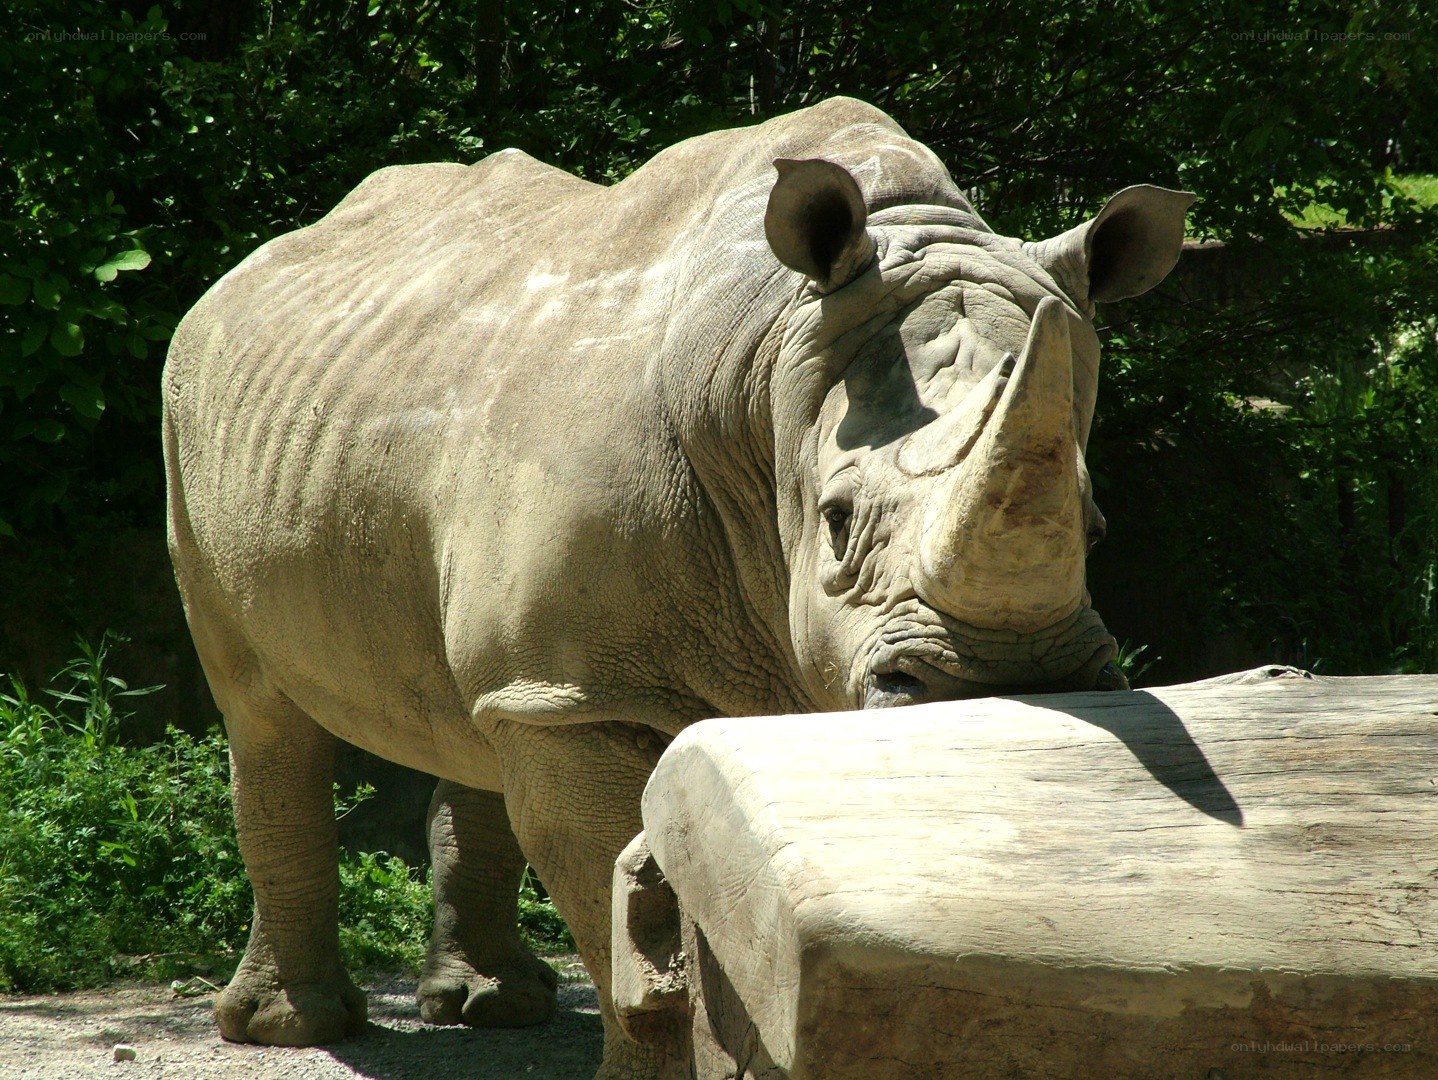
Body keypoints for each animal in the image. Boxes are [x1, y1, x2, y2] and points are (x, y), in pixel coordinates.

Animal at [162, 97, 1191, 1077]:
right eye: (838, 521)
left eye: (1095, 530)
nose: (1004, 684)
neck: (769, 371)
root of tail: (246, 272)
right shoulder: (588, 694)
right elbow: (613, 894)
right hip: (188, 417)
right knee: (262, 708)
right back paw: (290, 1026)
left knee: (481, 710)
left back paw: (491, 1005)